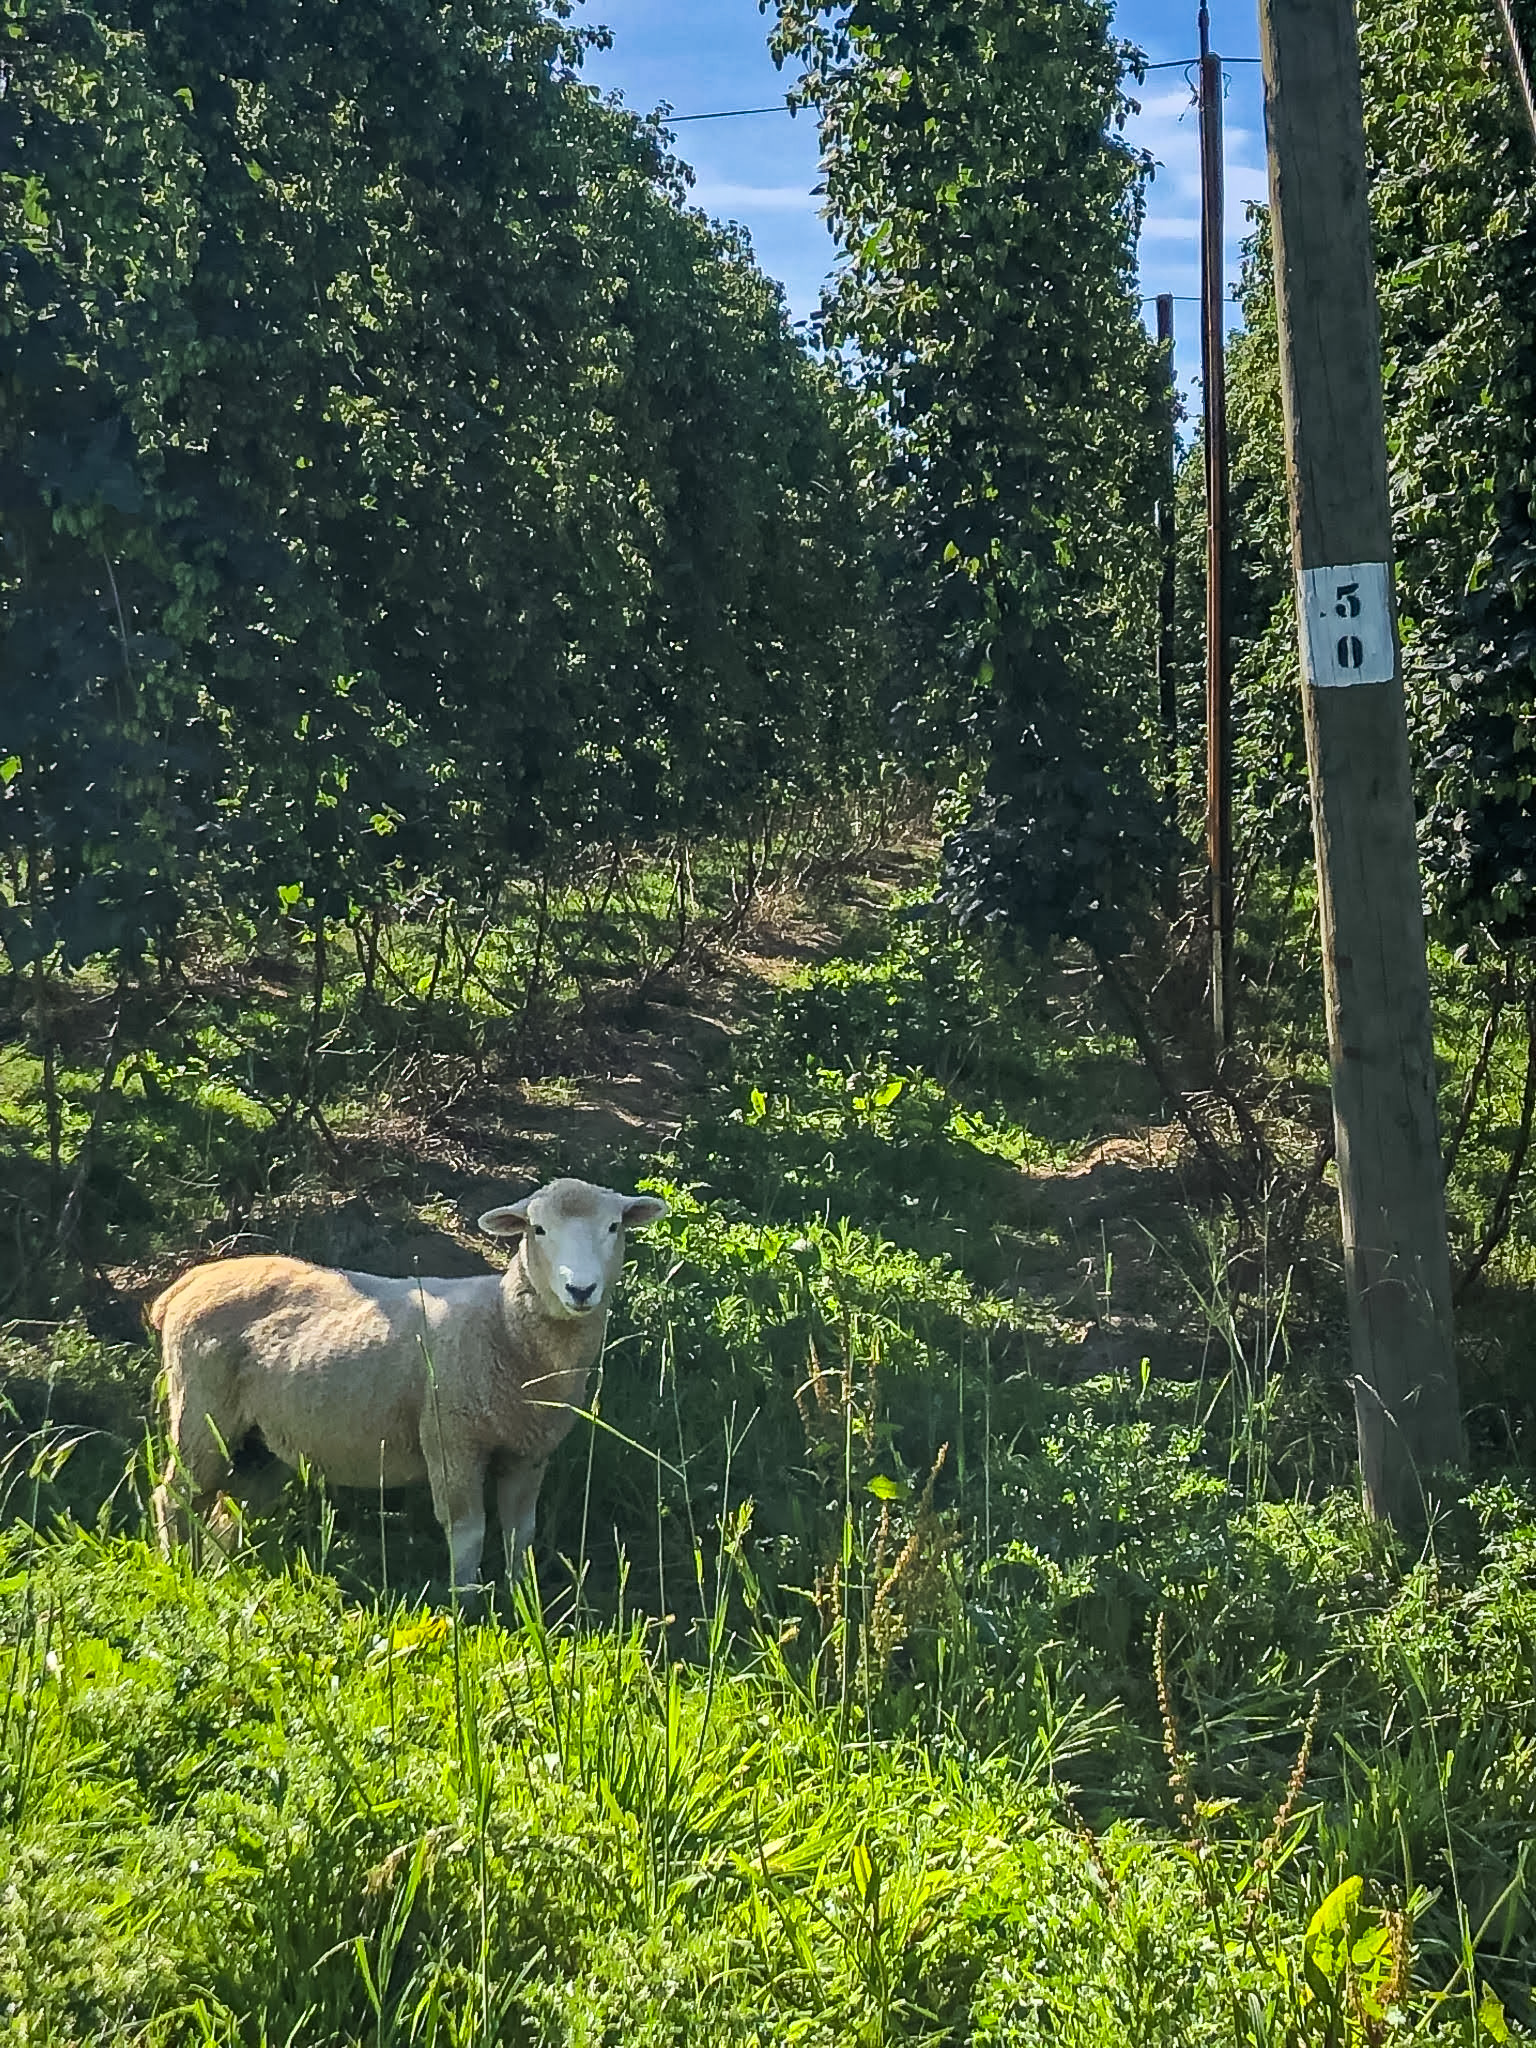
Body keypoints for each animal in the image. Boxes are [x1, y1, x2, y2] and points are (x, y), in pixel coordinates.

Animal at [148, 1178, 669, 1592]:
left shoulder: (529, 1452)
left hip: (261, 1442)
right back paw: (180, 1571)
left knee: (227, 1510)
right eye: (537, 1229)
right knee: (174, 1497)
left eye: (614, 1227)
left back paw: (223, 1574)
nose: (580, 1290)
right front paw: (467, 1608)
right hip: (200, 1411)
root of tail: (190, 1281)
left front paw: (524, 1600)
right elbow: (468, 1533)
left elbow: (520, 1533)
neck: (501, 1324)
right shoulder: (450, 1439)